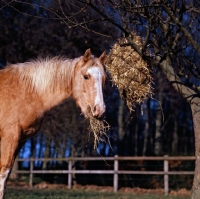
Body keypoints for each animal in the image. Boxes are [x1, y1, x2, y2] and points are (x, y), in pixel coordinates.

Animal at [0, 48, 106, 197]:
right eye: (86, 76)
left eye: (104, 79)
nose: (100, 109)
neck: (26, 92)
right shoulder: (10, 137)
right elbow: (3, 173)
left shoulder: (21, 140)